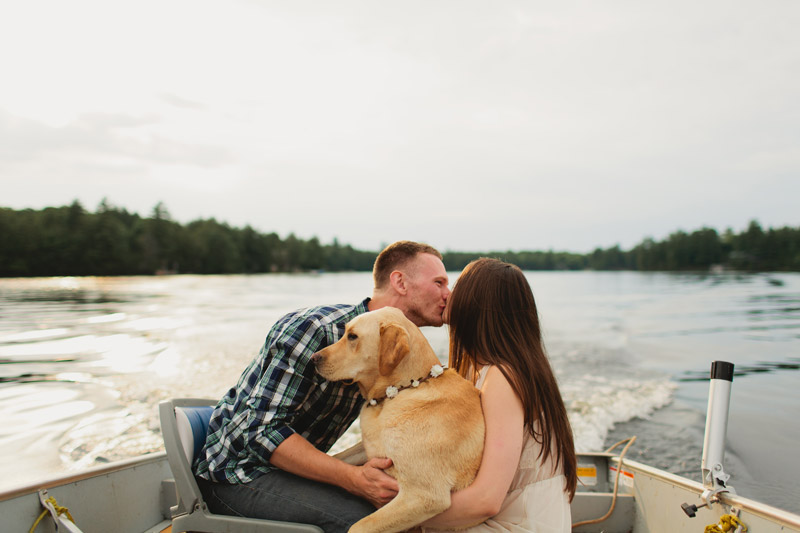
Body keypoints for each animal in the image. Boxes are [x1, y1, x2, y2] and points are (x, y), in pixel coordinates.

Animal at [314, 306, 488, 532]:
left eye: (352, 337)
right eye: (344, 333)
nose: (313, 358)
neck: (402, 389)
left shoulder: (424, 495)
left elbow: (359, 526)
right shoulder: (370, 447)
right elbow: (338, 457)